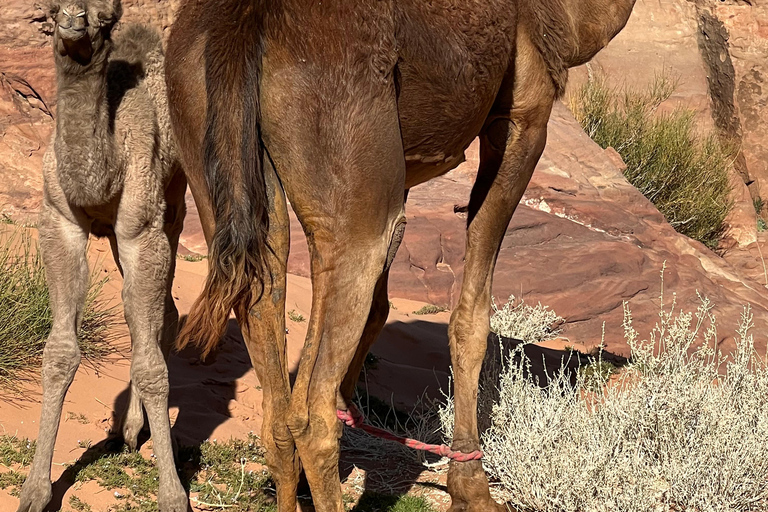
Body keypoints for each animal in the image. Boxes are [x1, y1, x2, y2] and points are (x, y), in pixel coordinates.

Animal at [16, 1, 188, 511]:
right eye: (52, 10)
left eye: (103, 17)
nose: (73, 20)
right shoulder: (59, 222)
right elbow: (59, 352)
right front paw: (35, 490)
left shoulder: (141, 230)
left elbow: (152, 365)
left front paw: (173, 495)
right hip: (114, 234)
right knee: (145, 319)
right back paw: (127, 431)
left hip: (173, 198)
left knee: (161, 317)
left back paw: (141, 433)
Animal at [166, 0, 637, 511]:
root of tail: (245, 15)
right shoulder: (523, 116)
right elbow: (471, 317)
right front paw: (472, 488)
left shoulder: (404, 167)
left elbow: (379, 306)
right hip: (349, 160)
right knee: (309, 416)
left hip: (209, 143)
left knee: (275, 378)